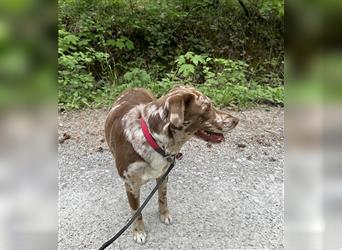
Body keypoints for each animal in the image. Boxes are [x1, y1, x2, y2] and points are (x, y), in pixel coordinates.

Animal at [103, 85, 238, 243]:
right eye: (207, 108)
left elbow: (163, 197)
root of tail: (134, 87)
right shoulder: (131, 185)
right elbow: (136, 211)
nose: (236, 120)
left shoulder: (163, 175)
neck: (152, 139)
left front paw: (164, 214)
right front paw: (138, 231)